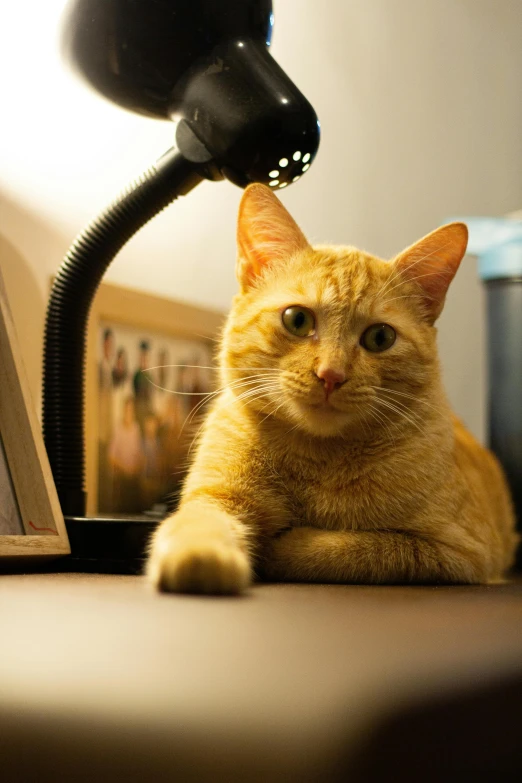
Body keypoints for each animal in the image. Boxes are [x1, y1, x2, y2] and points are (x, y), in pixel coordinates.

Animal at [144, 182, 512, 596]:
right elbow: (198, 523)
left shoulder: (458, 553)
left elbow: (355, 547)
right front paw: (199, 556)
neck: (316, 460)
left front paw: (284, 545)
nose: (331, 375)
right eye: (297, 320)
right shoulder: (215, 498)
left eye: (380, 338)